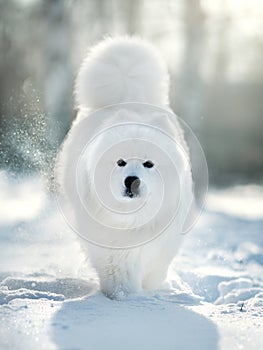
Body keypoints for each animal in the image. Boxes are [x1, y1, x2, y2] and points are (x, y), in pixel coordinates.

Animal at [57, 37, 194, 298]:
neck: (131, 218)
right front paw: (123, 296)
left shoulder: (162, 243)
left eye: (149, 164)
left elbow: (155, 268)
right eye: (120, 162)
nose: (131, 180)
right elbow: (118, 272)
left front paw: (149, 291)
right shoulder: (110, 245)